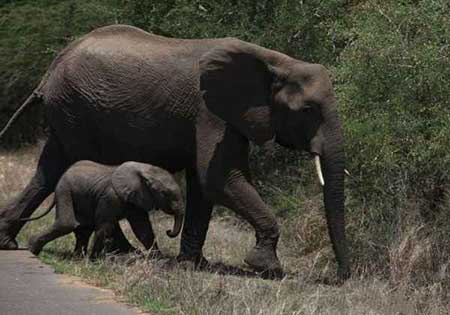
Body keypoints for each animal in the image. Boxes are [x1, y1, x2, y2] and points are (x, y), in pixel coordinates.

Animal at [28, 162, 184, 258]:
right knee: (67, 223)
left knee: (84, 229)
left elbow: (143, 230)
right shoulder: (111, 197)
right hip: (64, 190)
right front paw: (94, 260)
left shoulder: (136, 200)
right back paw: (32, 249)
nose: (168, 231)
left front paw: (158, 259)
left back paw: (78, 257)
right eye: (165, 193)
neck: (144, 170)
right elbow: (105, 226)